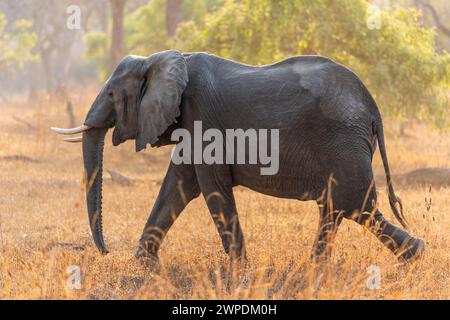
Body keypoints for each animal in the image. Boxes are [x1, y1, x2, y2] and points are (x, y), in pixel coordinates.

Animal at [52, 50, 426, 264]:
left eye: (111, 94)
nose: (105, 252)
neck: (161, 60)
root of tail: (374, 109)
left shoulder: (202, 116)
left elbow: (210, 187)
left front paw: (238, 271)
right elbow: (178, 184)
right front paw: (142, 265)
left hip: (342, 141)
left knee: (356, 205)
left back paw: (413, 257)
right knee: (335, 206)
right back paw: (317, 270)